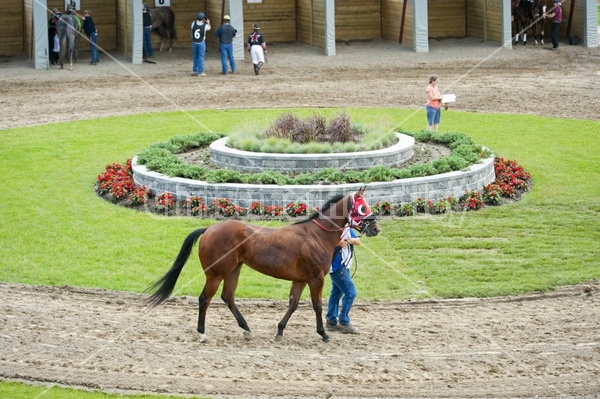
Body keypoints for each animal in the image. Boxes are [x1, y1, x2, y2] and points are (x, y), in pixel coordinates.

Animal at [145, 188, 380, 344]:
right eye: (363, 207)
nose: (376, 228)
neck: (316, 235)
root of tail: (209, 228)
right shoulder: (316, 278)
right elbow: (317, 306)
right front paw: (323, 333)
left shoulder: (300, 279)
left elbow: (293, 304)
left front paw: (280, 331)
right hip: (215, 273)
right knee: (205, 299)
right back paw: (202, 332)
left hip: (234, 269)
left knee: (228, 297)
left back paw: (246, 328)